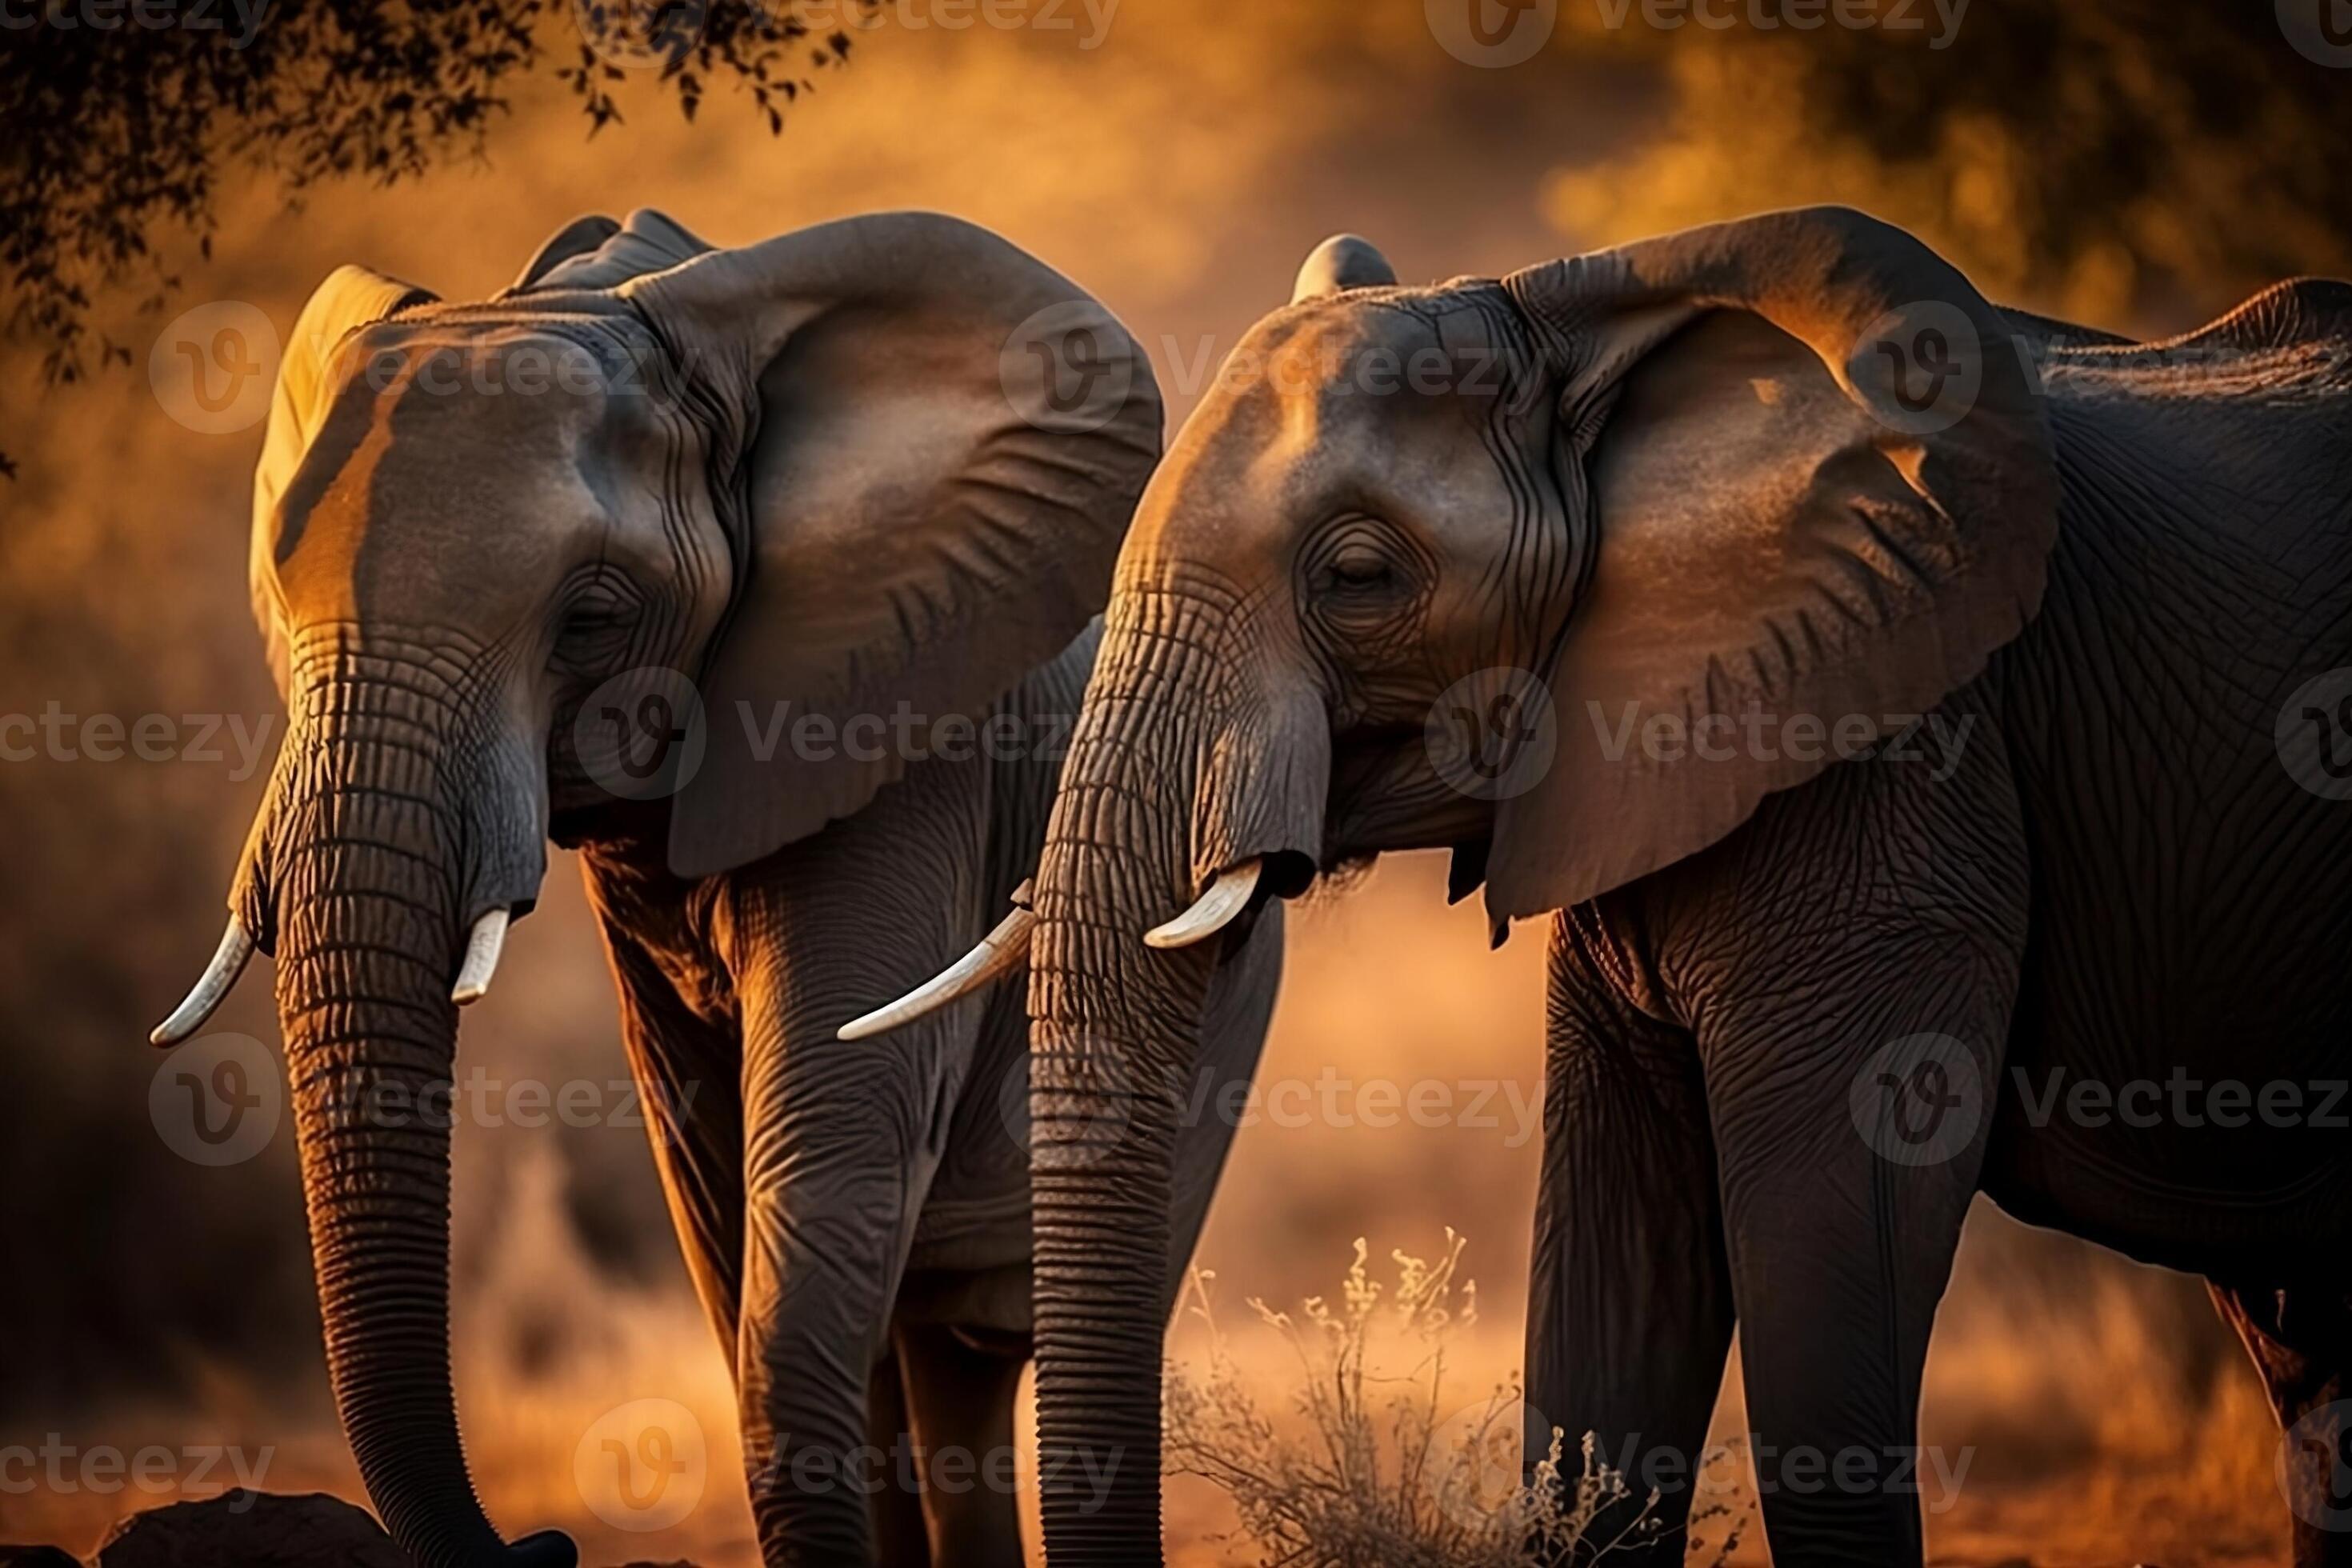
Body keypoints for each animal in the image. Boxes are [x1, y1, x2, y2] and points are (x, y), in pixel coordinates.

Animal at [147, 207, 1281, 1568]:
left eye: (589, 616)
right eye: (280, 598)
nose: (550, 1546)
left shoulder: (893, 743)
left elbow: (821, 1171)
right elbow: (715, 1195)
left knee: (976, 1331)